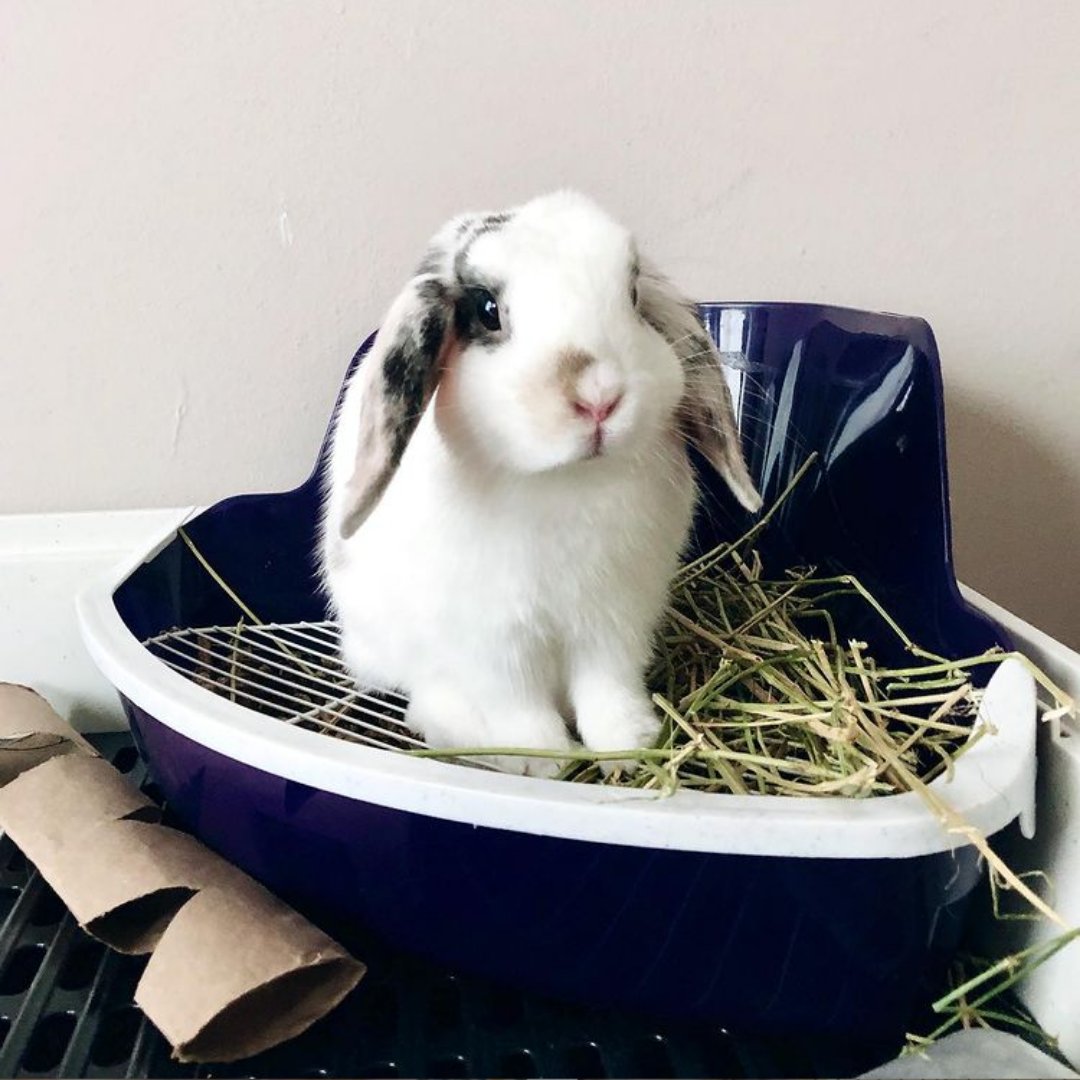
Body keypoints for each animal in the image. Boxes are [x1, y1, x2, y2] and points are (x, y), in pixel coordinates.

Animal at [320, 190, 761, 776]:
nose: (599, 397)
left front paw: (629, 744)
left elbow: (608, 688)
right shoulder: (496, 642)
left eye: (633, 293)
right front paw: (543, 761)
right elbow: (517, 706)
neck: (565, 482)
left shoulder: (615, 621)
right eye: (486, 310)